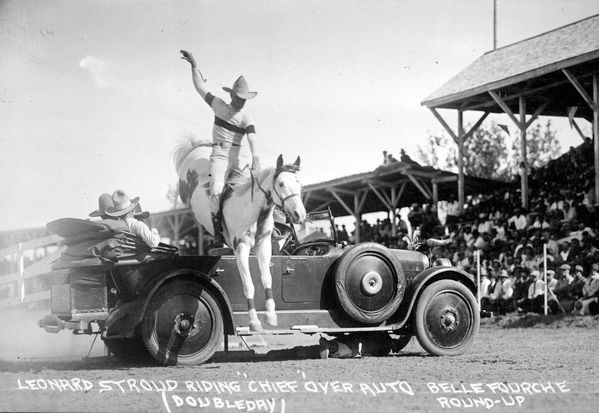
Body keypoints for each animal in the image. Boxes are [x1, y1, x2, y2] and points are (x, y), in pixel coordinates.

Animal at [172, 140, 304, 330]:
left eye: (299, 183)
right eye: (281, 184)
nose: (299, 214)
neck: (252, 210)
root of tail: (196, 147)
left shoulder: (264, 246)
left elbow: (267, 279)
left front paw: (271, 316)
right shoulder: (241, 248)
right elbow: (248, 285)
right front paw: (254, 322)